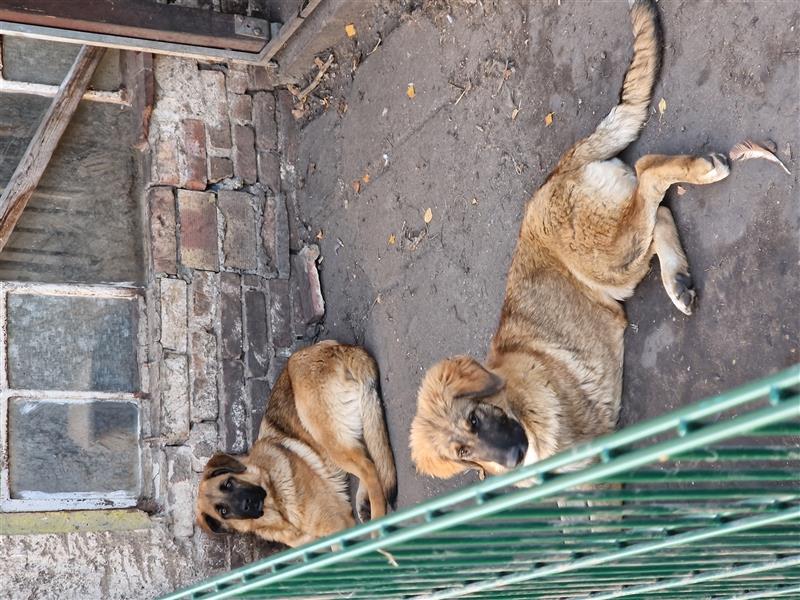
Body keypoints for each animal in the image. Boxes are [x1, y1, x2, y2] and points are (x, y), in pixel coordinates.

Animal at [197, 340, 396, 548]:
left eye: (228, 483)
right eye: (223, 511)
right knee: (369, 456)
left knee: (368, 467)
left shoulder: (338, 526)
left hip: (321, 429)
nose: (248, 503)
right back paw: (364, 504)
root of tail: (336, 347)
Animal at [410, 0, 728, 478]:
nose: (513, 458)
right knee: (658, 213)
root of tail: (556, 173)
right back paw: (678, 281)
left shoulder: (598, 455)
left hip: (608, 254)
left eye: (474, 419)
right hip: (617, 268)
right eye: (461, 452)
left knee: (650, 172)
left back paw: (705, 171)